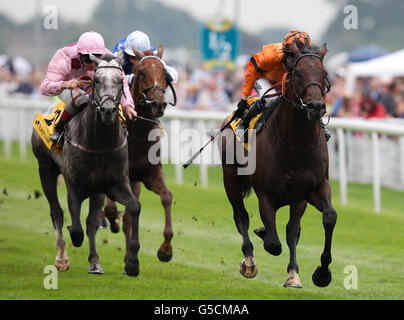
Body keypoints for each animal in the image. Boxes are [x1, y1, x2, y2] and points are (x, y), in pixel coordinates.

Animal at [31, 53, 142, 276]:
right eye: (96, 80)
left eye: (120, 80)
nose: (108, 110)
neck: (99, 144)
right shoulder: (74, 186)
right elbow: (75, 227)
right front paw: (74, 241)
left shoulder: (114, 184)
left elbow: (134, 206)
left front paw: (132, 263)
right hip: (45, 168)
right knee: (57, 212)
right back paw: (62, 258)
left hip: (96, 189)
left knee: (91, 222)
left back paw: (95, 262)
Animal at [102, 45, 174, 264]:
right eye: (141, 72)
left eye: (165, 74)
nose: (158, 104)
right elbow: (110, 208)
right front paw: (112, 219)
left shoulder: (150, 174)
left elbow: (167, 197)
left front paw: (166, 250)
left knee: (128, 216)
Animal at [219, 40, 336, 288]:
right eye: (298, 73)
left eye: (324, 74)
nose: (315, 106)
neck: (296, 144)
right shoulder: (266, 193)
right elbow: (273, 243)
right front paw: (263, 236)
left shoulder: (311, 189)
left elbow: (326, 218)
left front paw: (320, 273)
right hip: (230, 178)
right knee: (241, 216)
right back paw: (249, 261)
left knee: (292, 230)